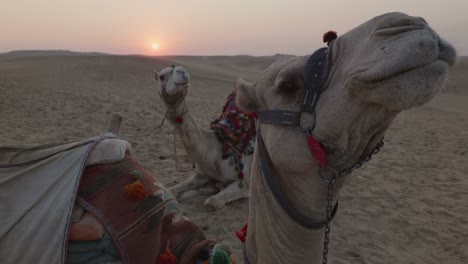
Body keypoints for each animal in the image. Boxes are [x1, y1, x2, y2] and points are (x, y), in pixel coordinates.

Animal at [155, 64, 254, 210]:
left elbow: (212, 202)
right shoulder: (202, 174)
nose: (182, 72)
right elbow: (172, 190)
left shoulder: (244, 183)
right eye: (162, 76)